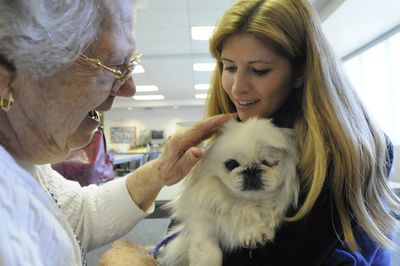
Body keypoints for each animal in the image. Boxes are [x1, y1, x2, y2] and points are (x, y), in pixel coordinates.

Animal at [156, 118, 300, 266]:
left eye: (268, 162)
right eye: (231, 164)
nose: (251, 169)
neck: (243, 202)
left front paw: (254, 232)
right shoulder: (201, 221)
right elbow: (208, 248)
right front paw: (206, 261)